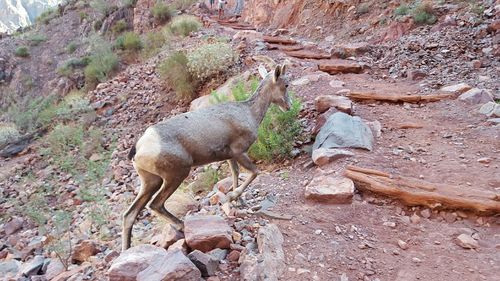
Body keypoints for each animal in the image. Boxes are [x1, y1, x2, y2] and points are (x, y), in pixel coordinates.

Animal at [122, 63, 292, 249]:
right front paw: (233, 196)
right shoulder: (239, 152)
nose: (289, 106)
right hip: (175, 175)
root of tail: (139, 147)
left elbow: (235, 174)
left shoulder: (231, 156)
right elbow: (254, 172)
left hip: (151, 181)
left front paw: (237, 201)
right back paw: (181, 225)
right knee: (155, 204)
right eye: (286, 84)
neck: (249, 112)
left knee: (129, 215)